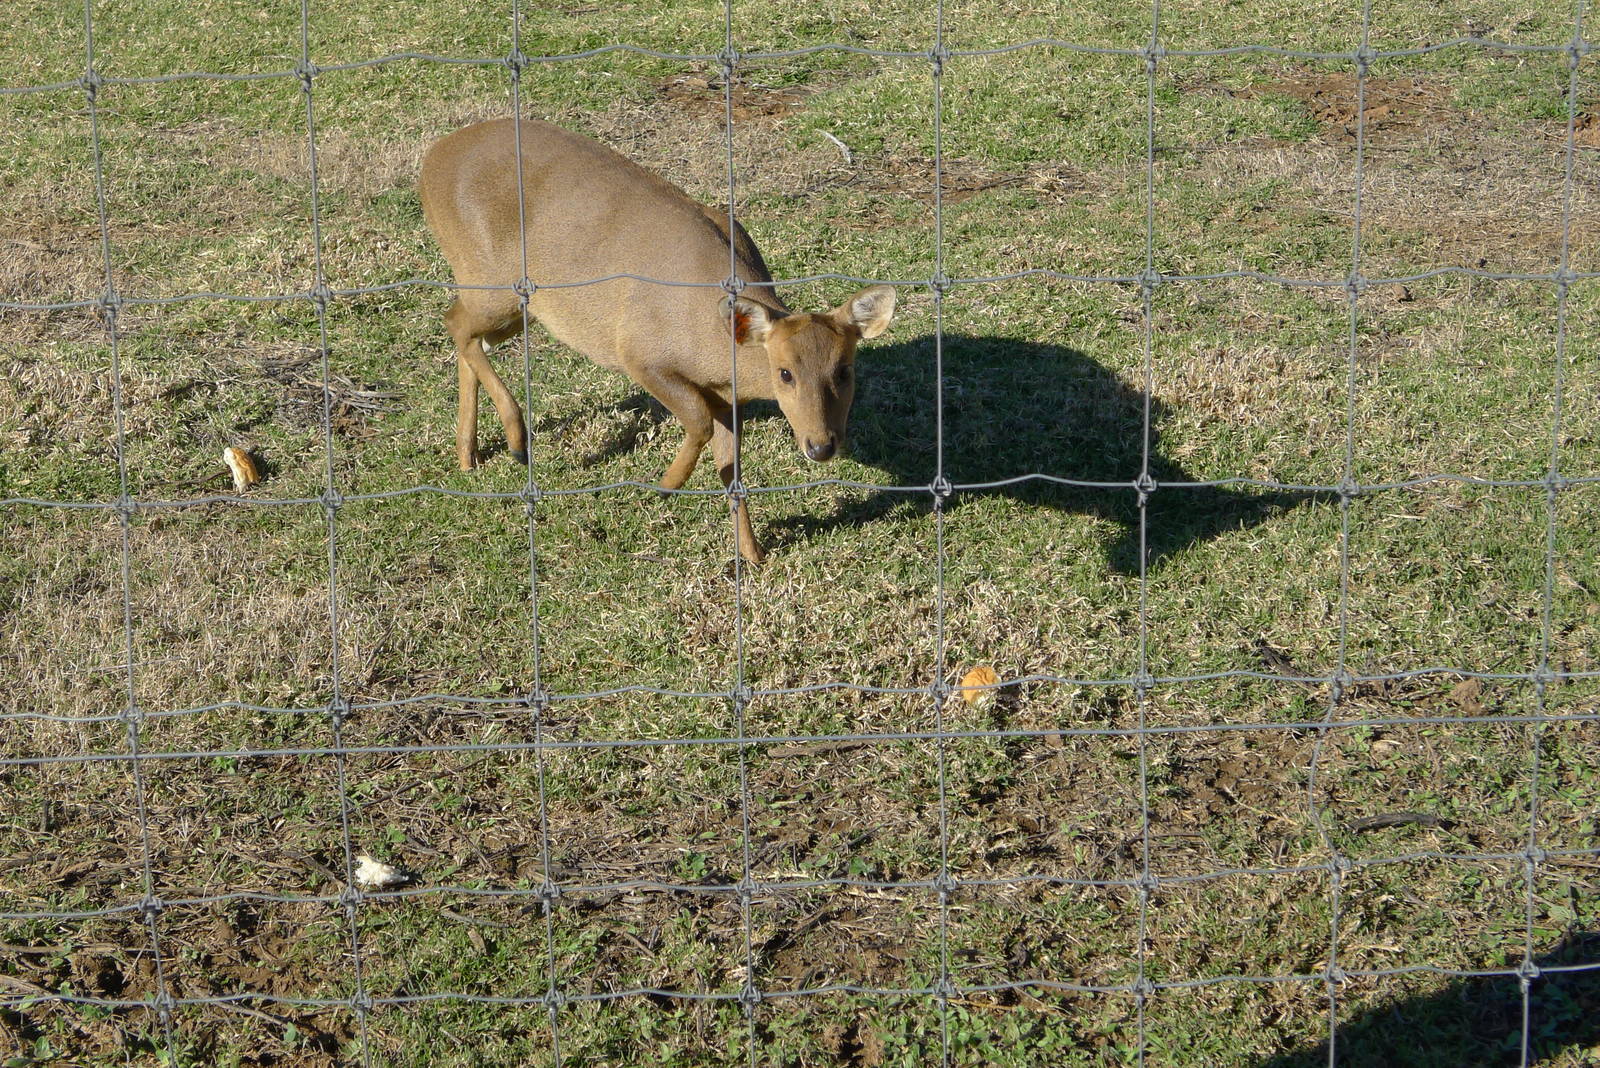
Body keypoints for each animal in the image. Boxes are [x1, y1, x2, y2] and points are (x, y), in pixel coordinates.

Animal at [418, 117, 896, 564]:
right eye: (784, 373)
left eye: (845, 370)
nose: (821, 445)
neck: (714, 344)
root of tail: (430, 162)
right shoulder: (640, 353)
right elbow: (698, 423)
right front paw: (667, 485)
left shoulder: (726, 396)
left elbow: (732, 471)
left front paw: (752, 556)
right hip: (492, 281)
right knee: (455, 322)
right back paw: (516, 442)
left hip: (514, 304)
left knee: (464, 332)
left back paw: (469, 455)